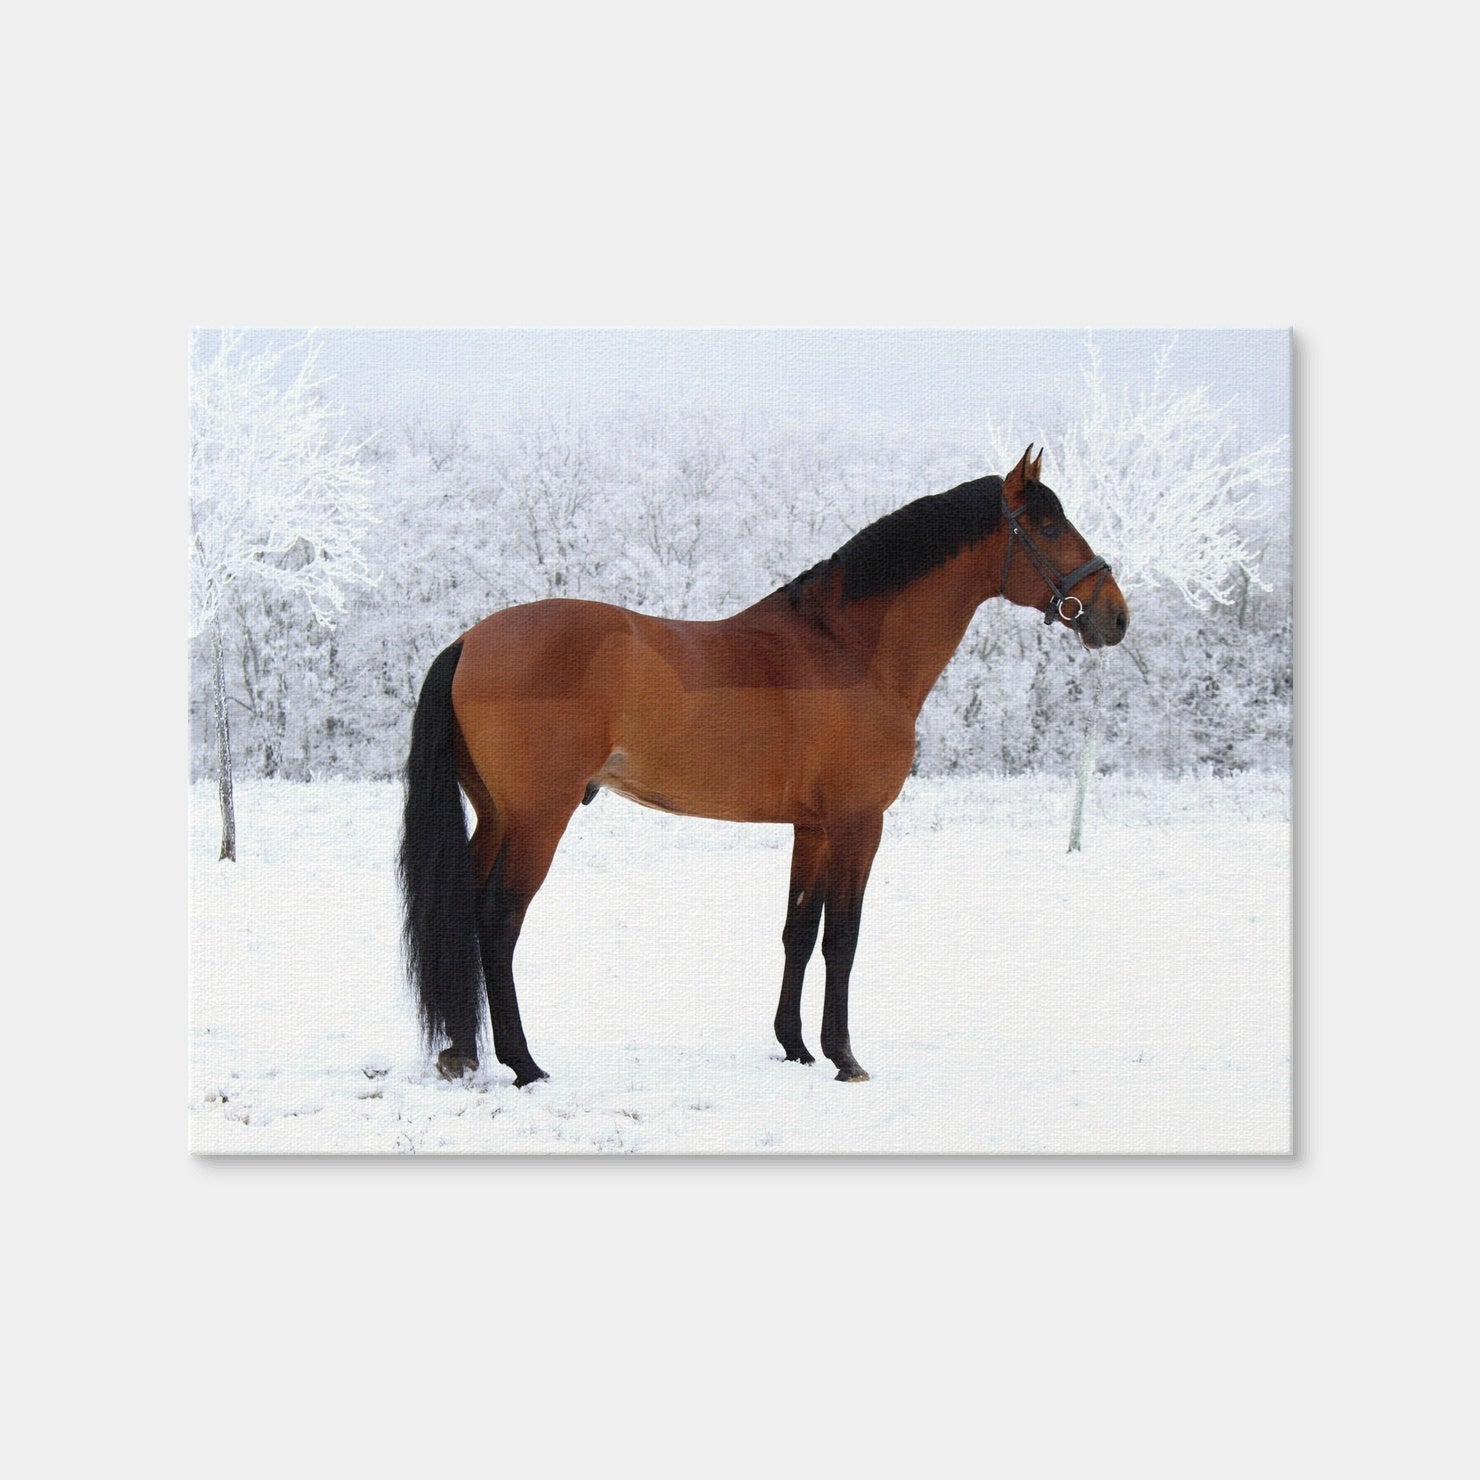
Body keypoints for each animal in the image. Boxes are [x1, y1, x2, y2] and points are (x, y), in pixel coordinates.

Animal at [399, 445, 1128, 1086]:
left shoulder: (814, 828)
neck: (848, 651)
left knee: (461, 912)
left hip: (496, 816)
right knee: (497, 920)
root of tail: (468, 641)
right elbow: (843, 938)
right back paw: (523, 1063)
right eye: (1046, 524)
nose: (1115, 617)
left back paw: (461, 1052)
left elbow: (798, 932)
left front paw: (796, 1047)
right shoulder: (859, 823)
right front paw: (845, 1058)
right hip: (538, 819)